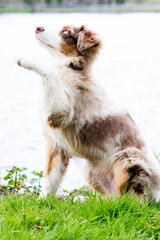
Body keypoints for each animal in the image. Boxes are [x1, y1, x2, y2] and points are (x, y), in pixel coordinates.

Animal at [16, 24, 160, 202]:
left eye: (65, 32)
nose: (38, 27)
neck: (70, 68)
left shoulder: (62, 112)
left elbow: (50, 72)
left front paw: (25, 59)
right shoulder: (55, 144)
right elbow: (49, 179)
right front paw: (42, 202)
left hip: (129, 157)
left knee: (132, 199)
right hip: (89, 167)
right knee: (109, 198)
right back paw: (85, 200)